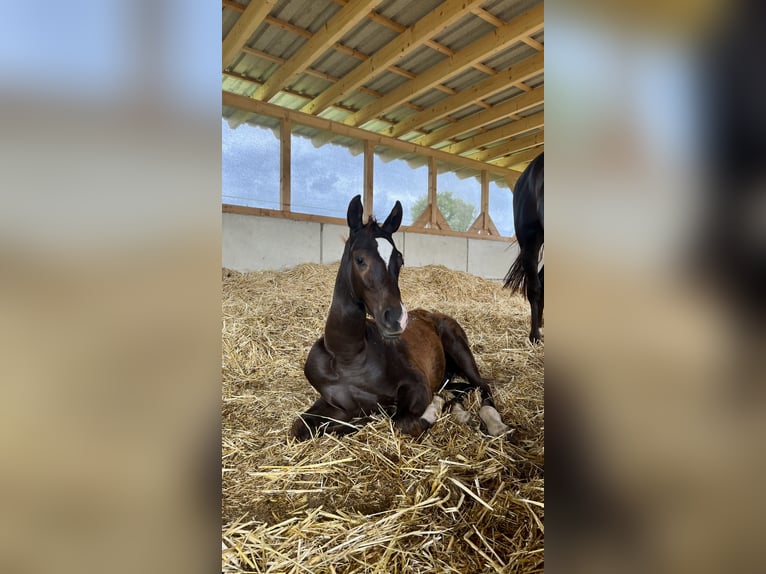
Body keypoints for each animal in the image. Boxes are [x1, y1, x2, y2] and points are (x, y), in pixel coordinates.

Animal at [291, 195, 509, 441]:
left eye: (400, 260)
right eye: (359, 259)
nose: (396, 319)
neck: (348, 356)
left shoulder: (417, 385)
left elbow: (400, 422)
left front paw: (433, 408)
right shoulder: (334, 404)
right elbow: (300, 426)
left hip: (460, 349)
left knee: (481, 386)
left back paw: (494, 423)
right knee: (461, 387)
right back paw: (460, 411)